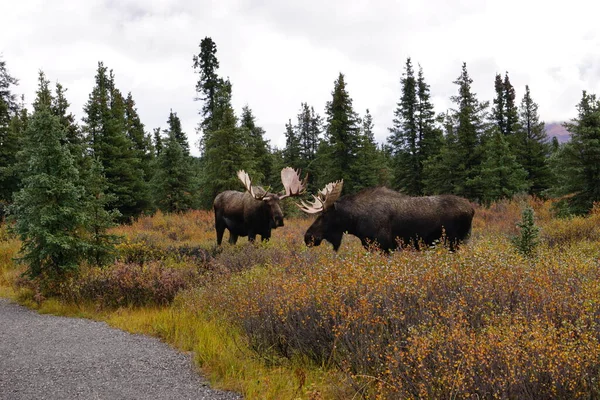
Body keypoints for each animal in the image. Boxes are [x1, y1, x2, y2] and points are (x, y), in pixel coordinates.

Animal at [298, 181, 476, 253]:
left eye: (324, 215)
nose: (308, 237)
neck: (355, 221)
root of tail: (472, 209)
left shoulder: (384, 246)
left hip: (454, 241)